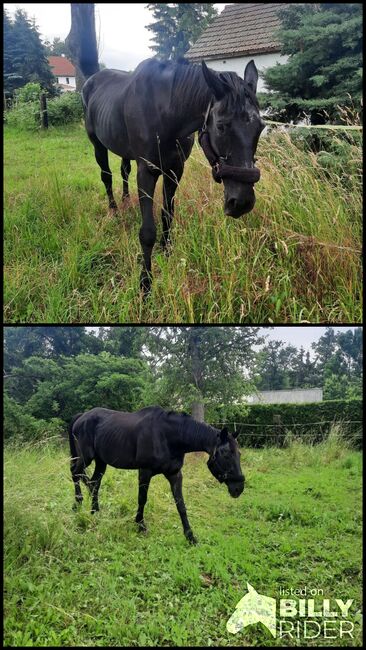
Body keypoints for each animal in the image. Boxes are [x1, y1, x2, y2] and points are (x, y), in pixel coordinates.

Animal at [69, 404, 246, 540]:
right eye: (226, 454)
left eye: (239, 454)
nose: (238, 488)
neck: (168, 437)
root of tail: (81, 416)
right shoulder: (145, 472)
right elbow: (142, 499)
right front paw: (140, 525)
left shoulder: (175, 474)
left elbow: (181, 504)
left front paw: (190, 536)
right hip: (86, 457)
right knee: (76, 473)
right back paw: (77, 503)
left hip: (101, 461)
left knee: (94, 482)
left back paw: (95, 511)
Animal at [80, 55, 264, 294]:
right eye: (221, 126)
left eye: (261, 127)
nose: (241, 203)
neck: (166, 112)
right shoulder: (147, 172)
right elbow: (147, 232)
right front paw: (145, 284)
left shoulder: (175, 170)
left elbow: (168, 214)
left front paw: (167, 252)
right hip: (98, 146)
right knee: (107, 176)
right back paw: (114, 211)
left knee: (123, 171)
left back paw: (126, 200)